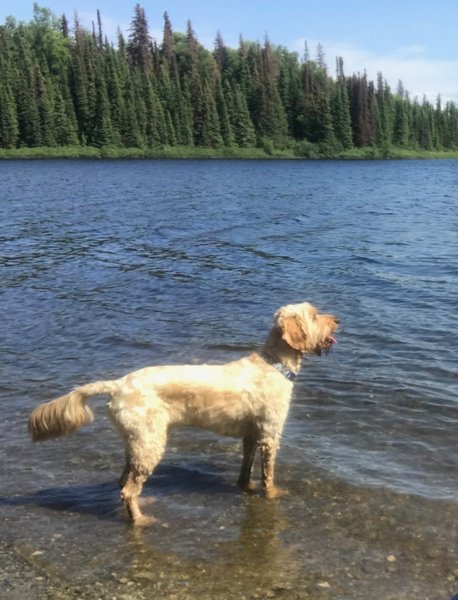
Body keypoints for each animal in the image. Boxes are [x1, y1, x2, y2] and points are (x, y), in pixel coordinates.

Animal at [27, 300, 336, 524]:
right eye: (314, 315)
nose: (337, 320)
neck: (274, 365)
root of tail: (118, 384)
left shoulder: (251, 434)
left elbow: (246, 468)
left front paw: (245, 486)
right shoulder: (270, 434)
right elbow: (268, 475)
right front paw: (272, 494)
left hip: (136, 441)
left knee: (123, 482)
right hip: (150, 443)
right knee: (128, 489)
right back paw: (141, 520)